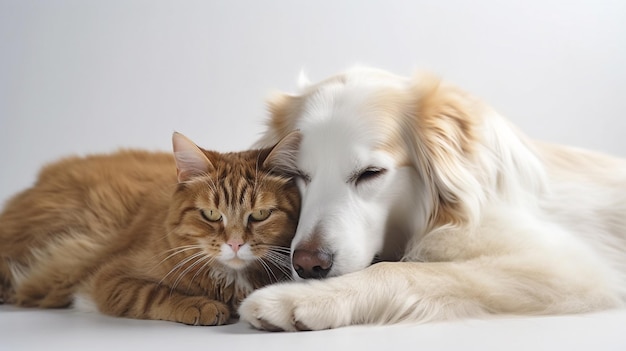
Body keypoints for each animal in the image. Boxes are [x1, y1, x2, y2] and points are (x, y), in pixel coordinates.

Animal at [0, 132, 302, 328]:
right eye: (211, 214)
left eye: (260, 215)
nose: (236, 244)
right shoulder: (111, 278)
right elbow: (155, 294)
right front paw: (200, 305)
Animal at [235, 66, 624, 332]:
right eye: (299, 175)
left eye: (370, 173)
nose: (307, 265)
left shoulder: (566, 266)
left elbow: (402, 271)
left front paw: (300, 298)